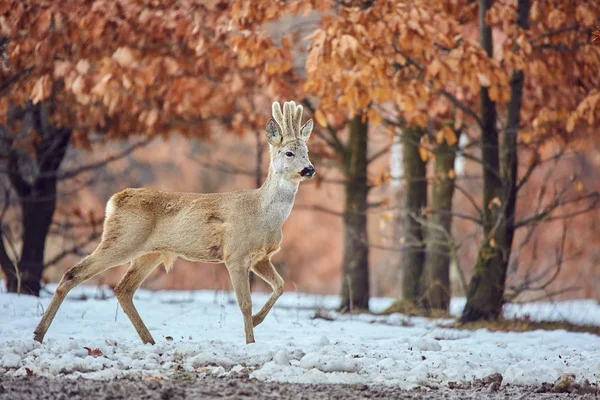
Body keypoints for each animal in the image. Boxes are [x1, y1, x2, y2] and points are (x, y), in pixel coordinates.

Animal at [33, 101, 316, 344]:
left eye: (307, 152)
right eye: (289, 153)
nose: (310, 169)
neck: (262, 214)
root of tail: (114, 200)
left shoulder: (260, 257)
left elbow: (281, 285)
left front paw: (257, 321)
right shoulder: (235, 254)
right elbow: (244, 303)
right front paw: (250, 342)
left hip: (149, 253)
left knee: (123, 289)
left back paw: (150, 340)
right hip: (122, 240)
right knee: (74, 273)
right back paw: (38, 334)